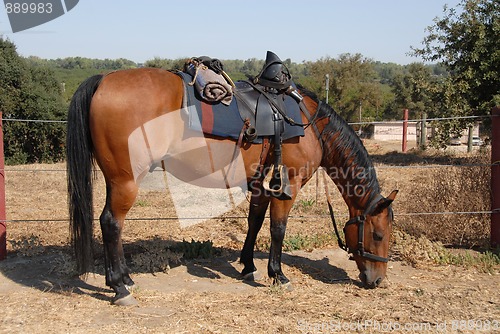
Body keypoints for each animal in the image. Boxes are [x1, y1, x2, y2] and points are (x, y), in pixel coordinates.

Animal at [67, 68, 398, 306]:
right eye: (379, 235)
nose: (378, 280)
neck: (309, 124)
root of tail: (103, 80)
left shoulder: (262, 185)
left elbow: (254, 223)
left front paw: (248, 265)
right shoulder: (288, 185)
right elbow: (278, 229)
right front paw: (278, 275)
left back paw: (125, 279)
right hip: (125, 181)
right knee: (111, 223)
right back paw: (119, 287)